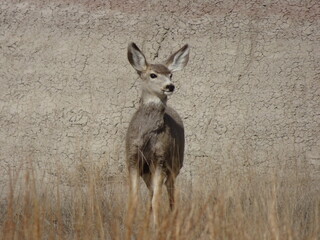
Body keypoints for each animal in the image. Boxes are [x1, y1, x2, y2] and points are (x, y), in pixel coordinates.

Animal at [125, 41, 190, 227]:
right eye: (153, 75)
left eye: (170, 74)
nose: (170, 86)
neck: (147, 138)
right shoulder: (132, 158)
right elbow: (134, 197)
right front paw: (130, 224)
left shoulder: (160, 158)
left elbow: (156, 198)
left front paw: (155, 225)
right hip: (148, 170)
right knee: (153, 190)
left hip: (175, 162)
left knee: (170, 189)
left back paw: (172, 216)